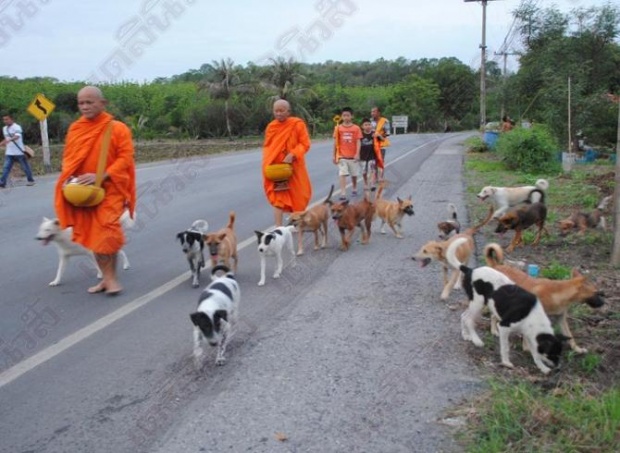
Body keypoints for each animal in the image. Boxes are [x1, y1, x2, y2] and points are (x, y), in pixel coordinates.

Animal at [446, 235, 568, 372]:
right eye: (553, 354)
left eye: (559, 353)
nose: (558, 368)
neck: (532, 316)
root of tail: (470, 270)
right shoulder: (504, 327)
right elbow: (505, 348)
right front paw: (506, 362)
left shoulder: (529, 334)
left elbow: (535, 354)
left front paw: (542, 368)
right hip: (478, 303)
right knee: (468, 319)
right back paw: (476, 340)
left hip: (477, 304)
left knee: (463, 316)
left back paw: (466, 335)